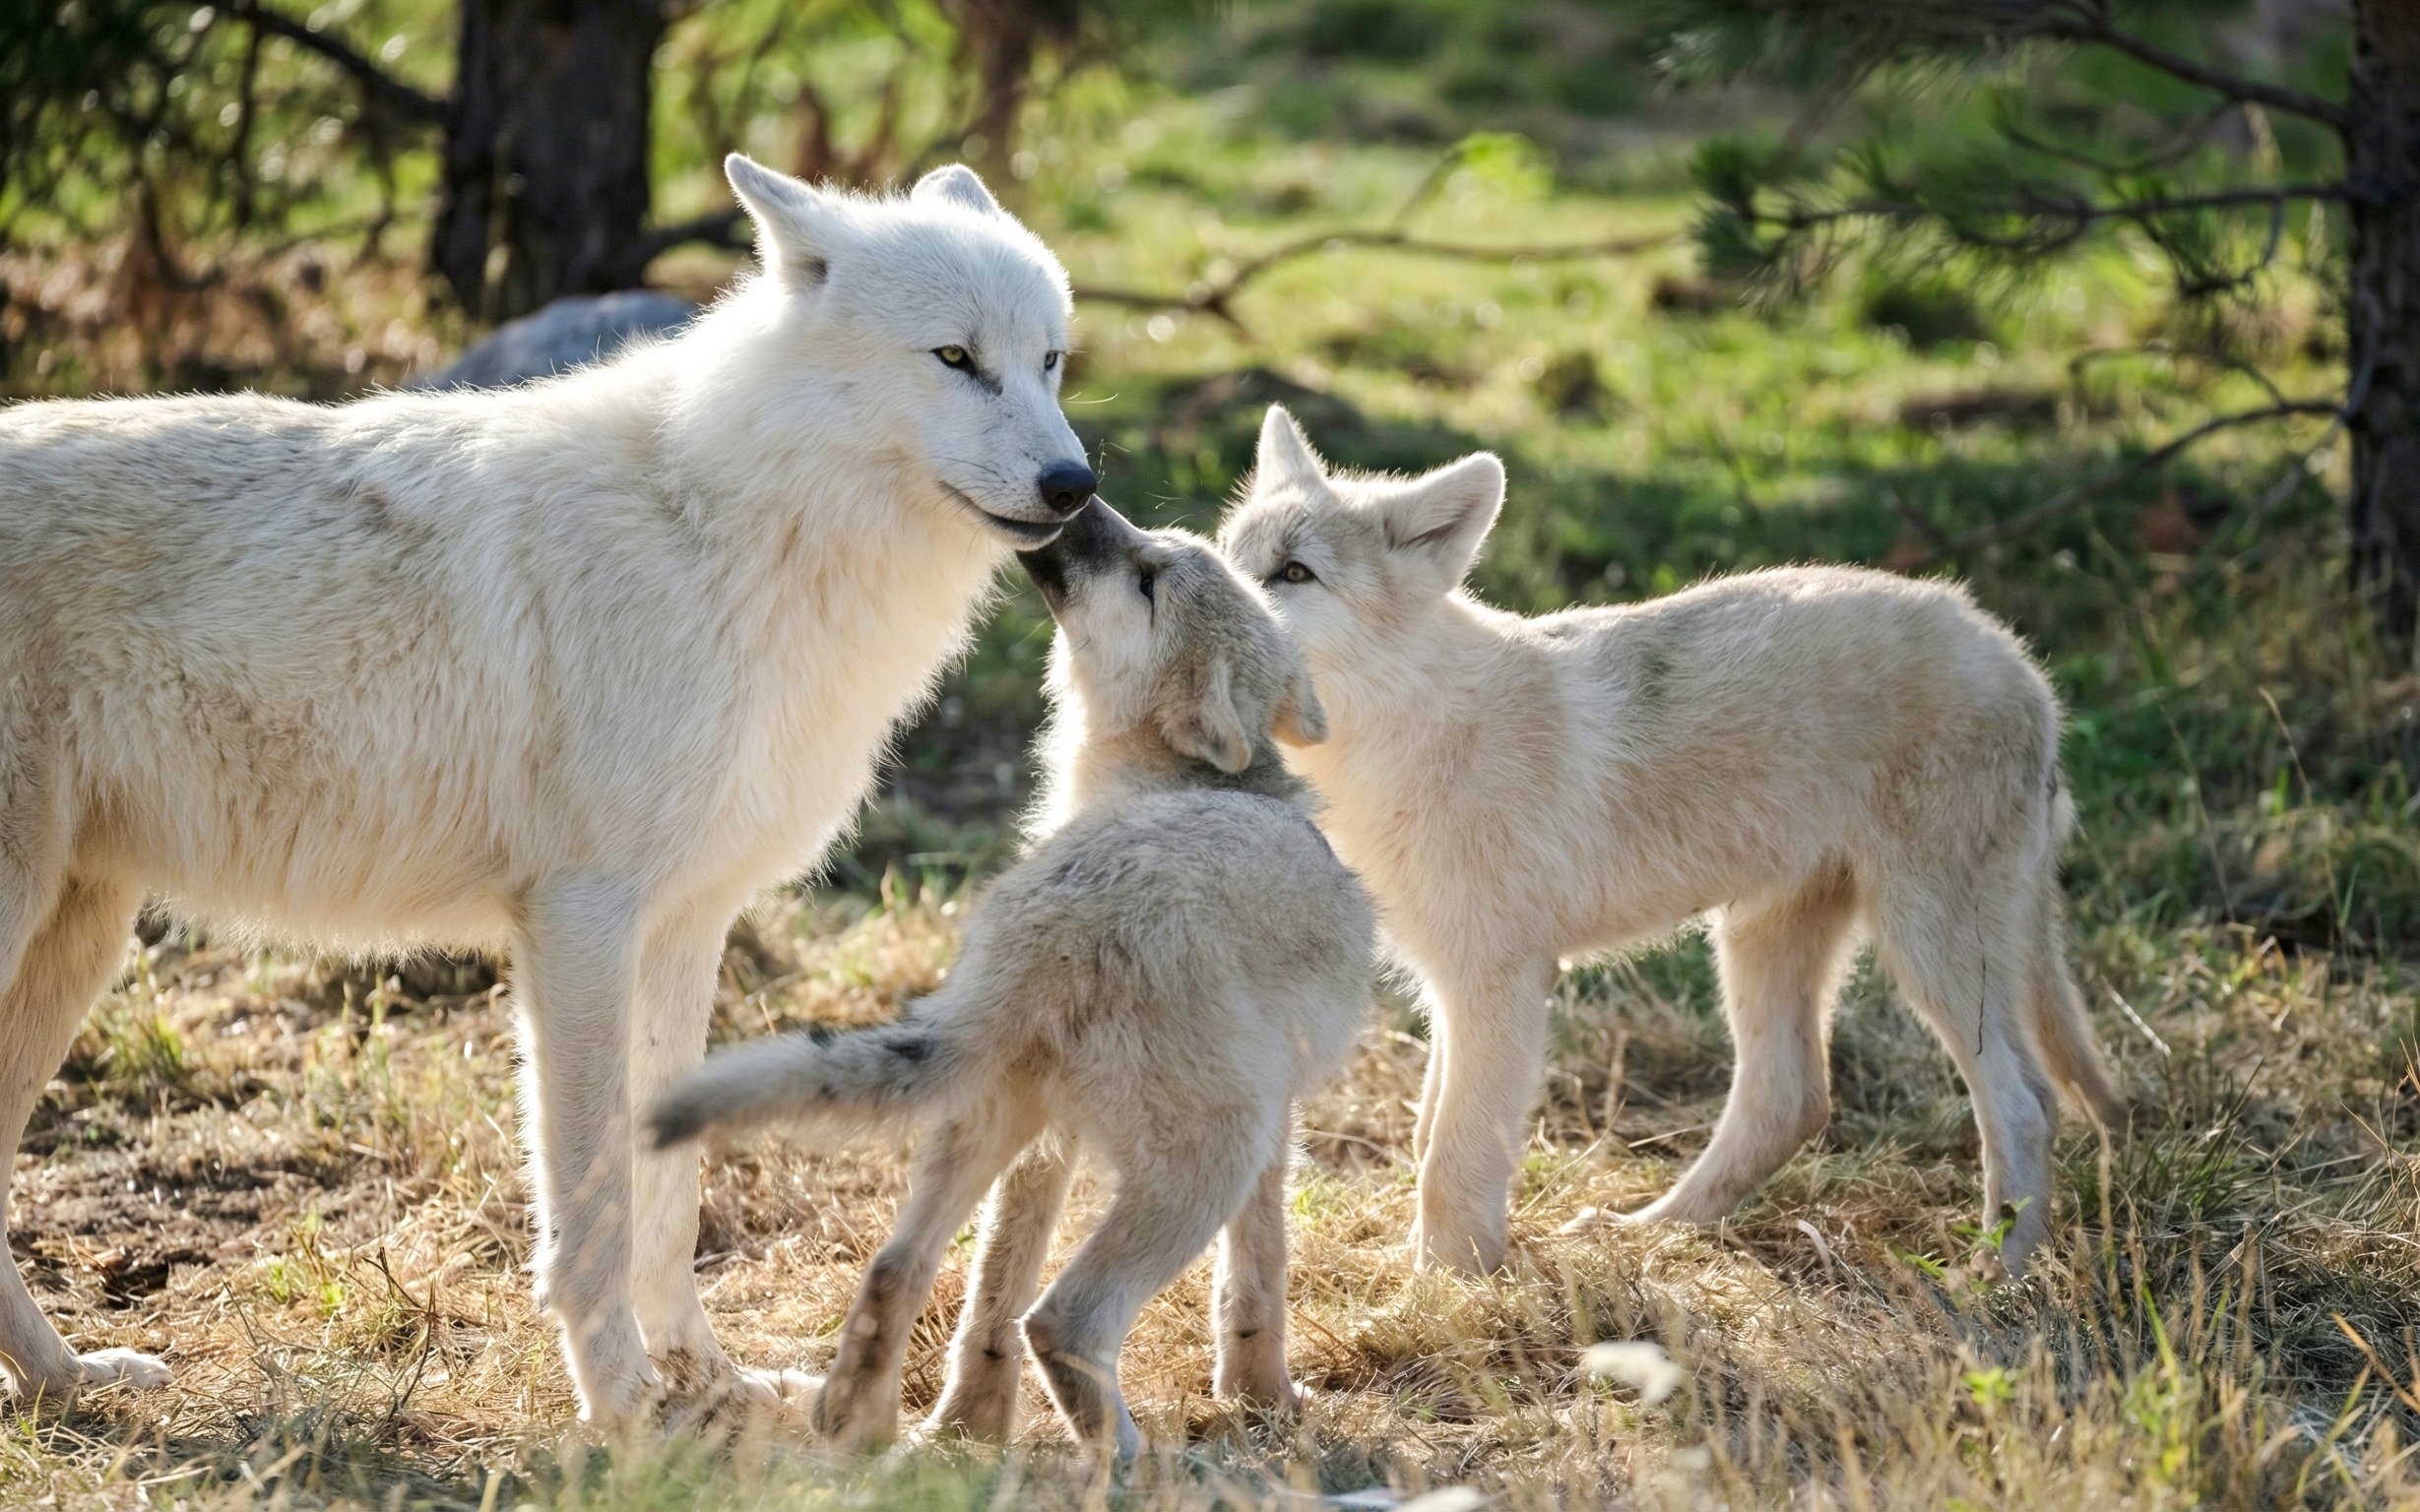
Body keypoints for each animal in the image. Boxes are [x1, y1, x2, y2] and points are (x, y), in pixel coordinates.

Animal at [0, 156, 1095, 1421]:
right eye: (955, 358)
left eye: (1049, 360)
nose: (1075, 484)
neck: (730, 534)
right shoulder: (579, 921)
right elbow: (594, 1197)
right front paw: (621, 1405)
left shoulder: (686, 928)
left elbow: (669, 1197)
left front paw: (708, 1381)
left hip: (81, 940)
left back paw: (66, 1378)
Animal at [651, 501, 1375, 1457]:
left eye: (1147, 575)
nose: (1084, 498)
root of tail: (1057, 919)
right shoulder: (1274, 1131)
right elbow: (1257, 1281)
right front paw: (1265, 1404)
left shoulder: (1054, 1147)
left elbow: (990, 1300)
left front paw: (972, 1427)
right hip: (1210, 1157)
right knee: (1063, 1317)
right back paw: (1130, 1462)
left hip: (992, 1120)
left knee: (900, 1271)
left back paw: (871, 1427)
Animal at [1217, 407, 2122, 1278]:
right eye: (1230, 554)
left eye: (1292, 574)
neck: (1407, 734)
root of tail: (2023, 665)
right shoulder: (1452, 987)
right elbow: (1426, 1135)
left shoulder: (1497, 983)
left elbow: (1452, 1156)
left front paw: (1436, 1293)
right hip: (1764, 942)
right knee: (1791, 1101)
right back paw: (1648, 1233)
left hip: (1925, 950)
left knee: (2024, 1102)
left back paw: (1996, 1277)